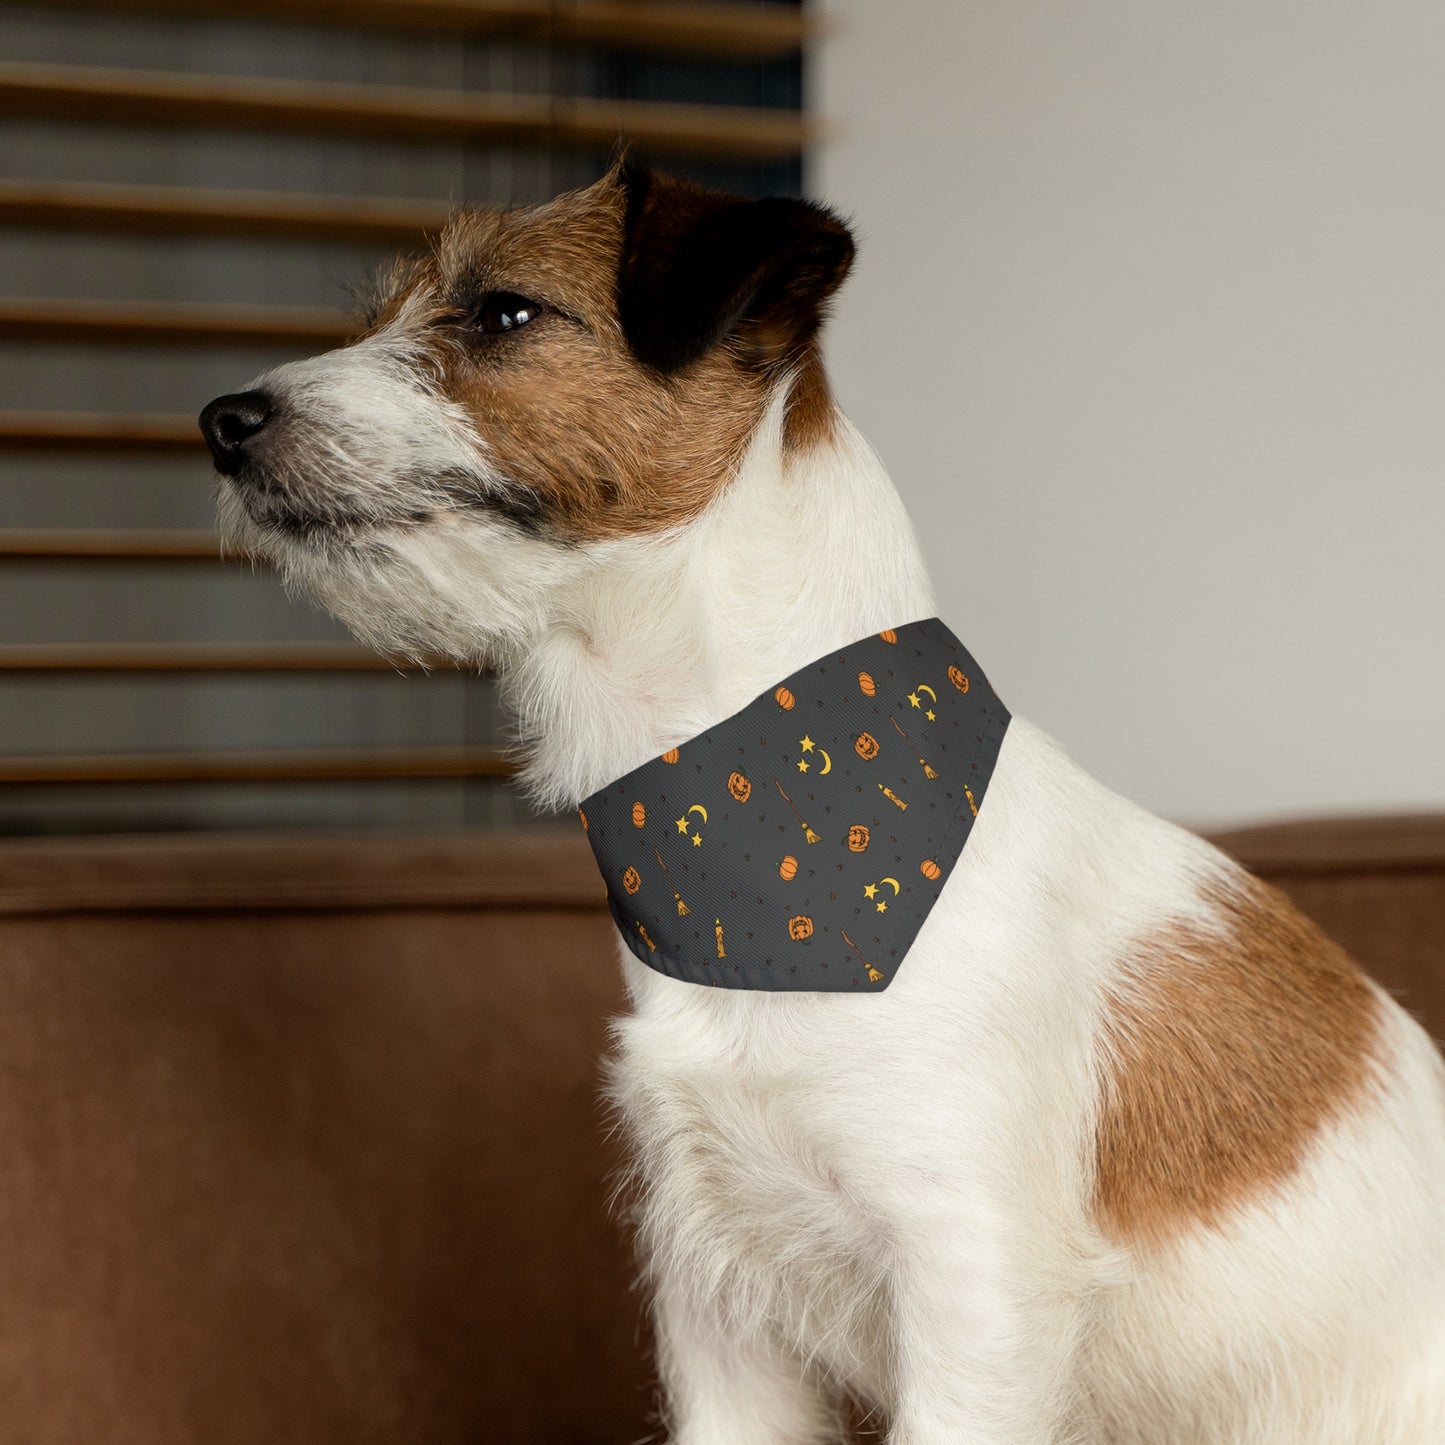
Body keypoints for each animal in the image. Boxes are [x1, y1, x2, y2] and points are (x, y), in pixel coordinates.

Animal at [200, 164, 1445, 1439]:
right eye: (380, 314)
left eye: (503, 312)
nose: (222, 421)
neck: (755, 833)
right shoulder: (716, 1304)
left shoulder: (973, 1291)